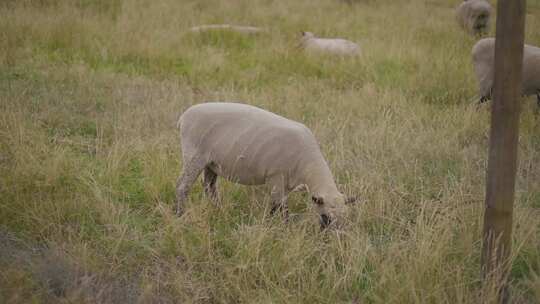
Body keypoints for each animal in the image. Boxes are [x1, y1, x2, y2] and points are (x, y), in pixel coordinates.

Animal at [175, 102, 356, 228]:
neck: (308, 165)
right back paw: (179, 214)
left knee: (209, 187)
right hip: (194, 156)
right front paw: (281, 227)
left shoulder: (286, 184)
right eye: (326, 217)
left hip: (211, 163)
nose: (333, 239)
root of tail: (183, 117)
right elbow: (279, 208)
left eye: (346, 217)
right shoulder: (276, 177)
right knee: (182, 187)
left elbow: (279, 205)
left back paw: (219, 210)